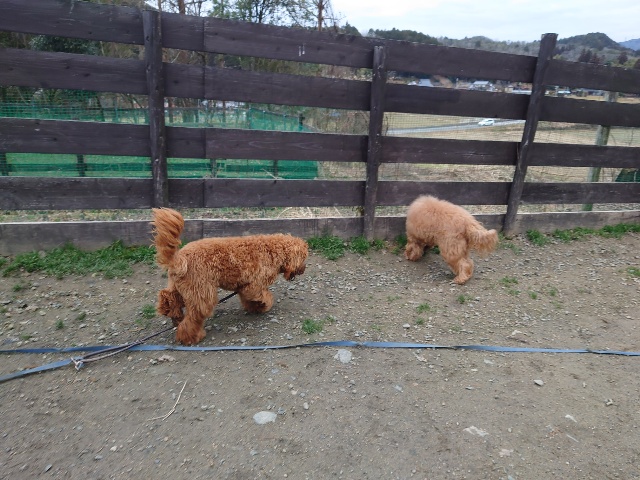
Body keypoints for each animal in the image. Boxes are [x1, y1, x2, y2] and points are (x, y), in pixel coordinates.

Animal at [152, 208, 308, 345]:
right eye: (304, 258)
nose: (303, 269)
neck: (272, 250)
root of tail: (178, 259)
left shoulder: (243, 286)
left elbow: (249, 300)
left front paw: (255, 308)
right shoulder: (254, 286)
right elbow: (265, 296)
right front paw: (264, 305)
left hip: (180, 286)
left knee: (168, 298)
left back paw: (174, 315)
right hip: (202, 293)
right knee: (192, 318)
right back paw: (191, 337)